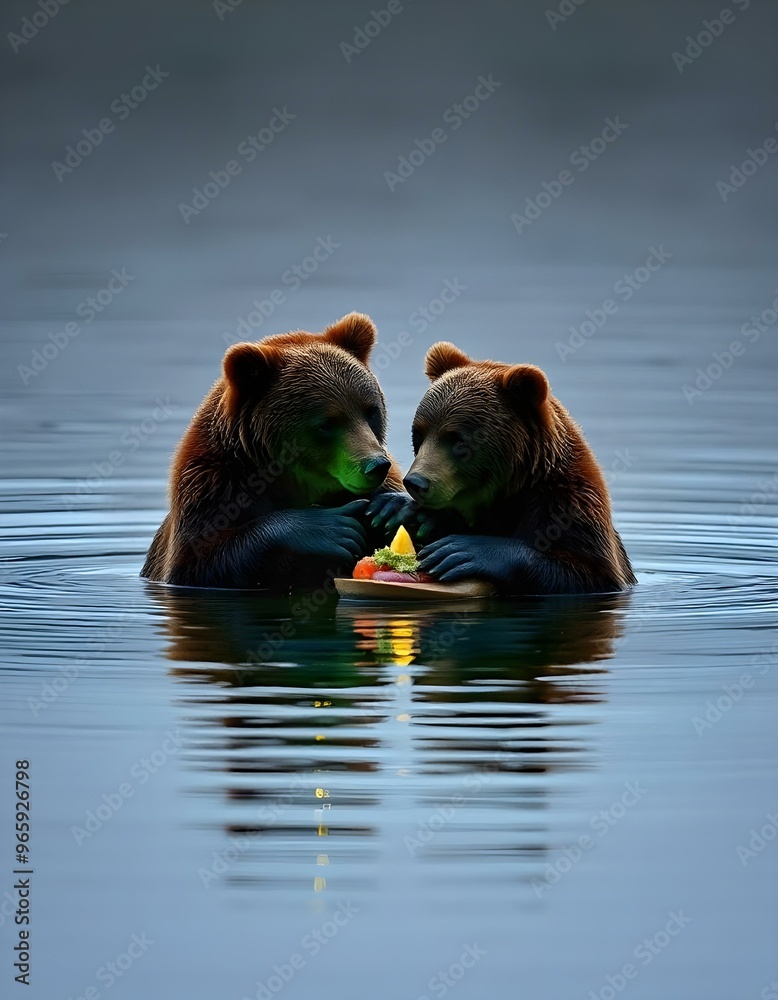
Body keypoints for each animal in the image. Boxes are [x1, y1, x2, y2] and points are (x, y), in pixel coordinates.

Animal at [141, 313, 404, 590]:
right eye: (326, 424)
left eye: (370, 410)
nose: (375, 465)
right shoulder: (211, 492)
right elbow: (200, 562)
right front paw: (331, 529)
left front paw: (392, 506)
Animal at [383, 342, 636, 595]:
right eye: (419, 434)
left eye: (458, 441)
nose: (416, 482)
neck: (511, 491)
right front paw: (399, 507)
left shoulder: (567, 509)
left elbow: (587, 572)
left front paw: (462, 551)